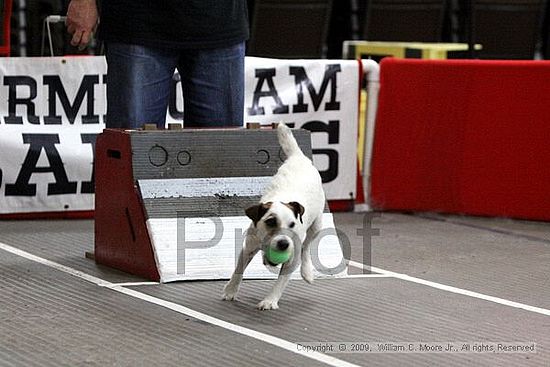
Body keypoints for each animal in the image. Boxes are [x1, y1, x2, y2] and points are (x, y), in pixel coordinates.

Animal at [222, 124, 326, 310]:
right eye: (270, 221)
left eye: (292, 225)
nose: (284, 243)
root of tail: (299, 158)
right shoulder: (249, 247)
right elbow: (239, 269)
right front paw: (231, 290)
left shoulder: (291, 258)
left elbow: (281, 281)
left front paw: (270, 300)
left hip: (316, 225)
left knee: (307, 245)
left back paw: (306, 271)